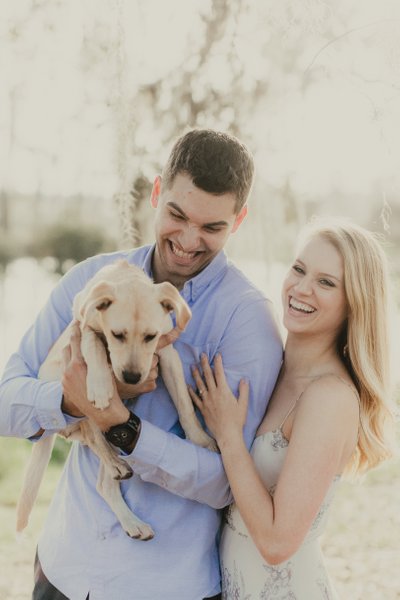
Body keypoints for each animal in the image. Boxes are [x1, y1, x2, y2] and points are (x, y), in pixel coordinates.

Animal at [15, 260, 217, 540]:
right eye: (117, 335)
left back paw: (132, 521)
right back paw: (114, 463)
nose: (131, 377)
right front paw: (101, 385)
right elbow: (94, 345)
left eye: (150, 336)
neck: (125, 277)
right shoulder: (83, 326)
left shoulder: (167, 352)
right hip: (68, 393)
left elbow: (184, 405)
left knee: (104, 482)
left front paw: (200, 439)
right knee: (93, 435)